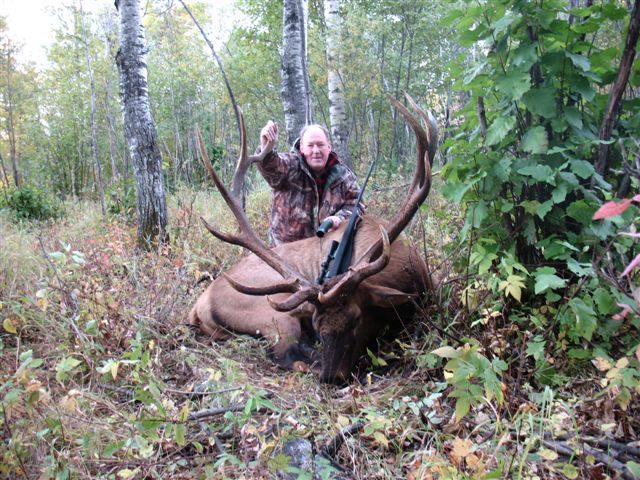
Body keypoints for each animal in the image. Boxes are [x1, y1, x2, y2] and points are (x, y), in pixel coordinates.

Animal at [189, 95, 438, 384]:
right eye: (318, 325)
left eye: (356, 319)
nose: (331, 376)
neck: (407, 273)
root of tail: (199, 306)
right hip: (272, 310)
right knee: (284, 353)